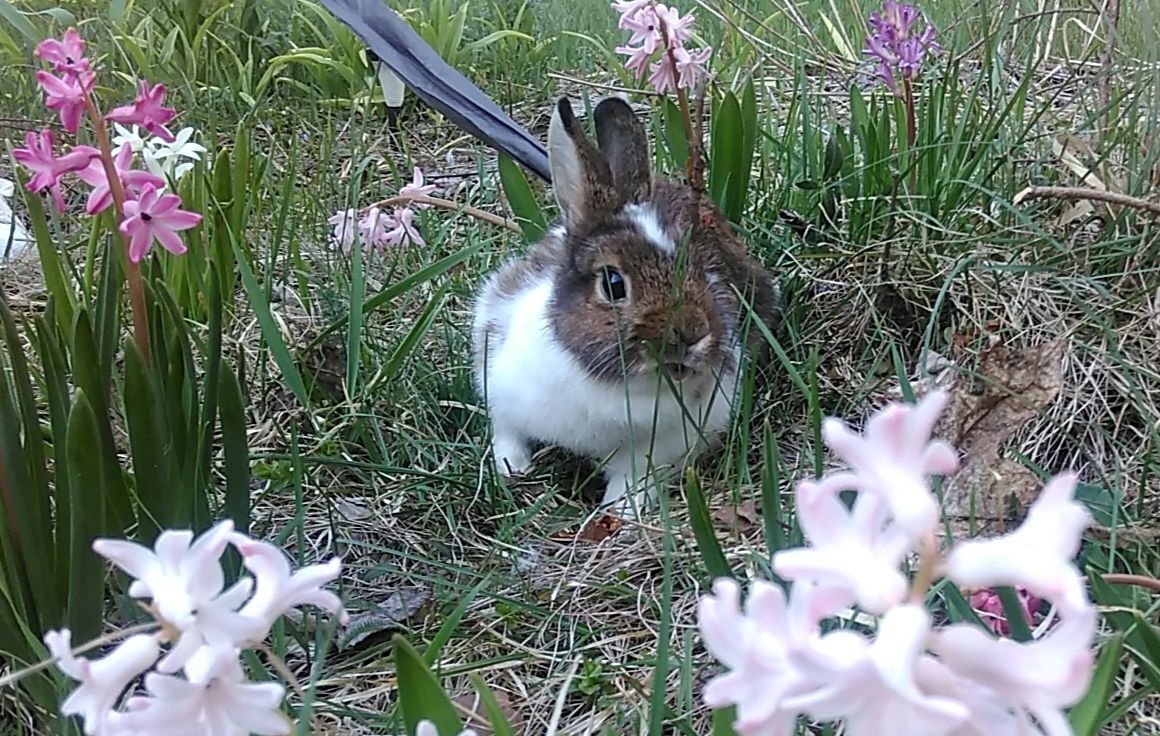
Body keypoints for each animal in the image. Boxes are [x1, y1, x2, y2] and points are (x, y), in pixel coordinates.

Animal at [468, 94, 779, 513]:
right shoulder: (498, 379)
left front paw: (620, 511)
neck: (612, 383)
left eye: (696, 265)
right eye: (613, 284)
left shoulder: (662, 445)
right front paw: (509, 468)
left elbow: (633, 479)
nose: (694, 333)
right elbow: (507, 431)